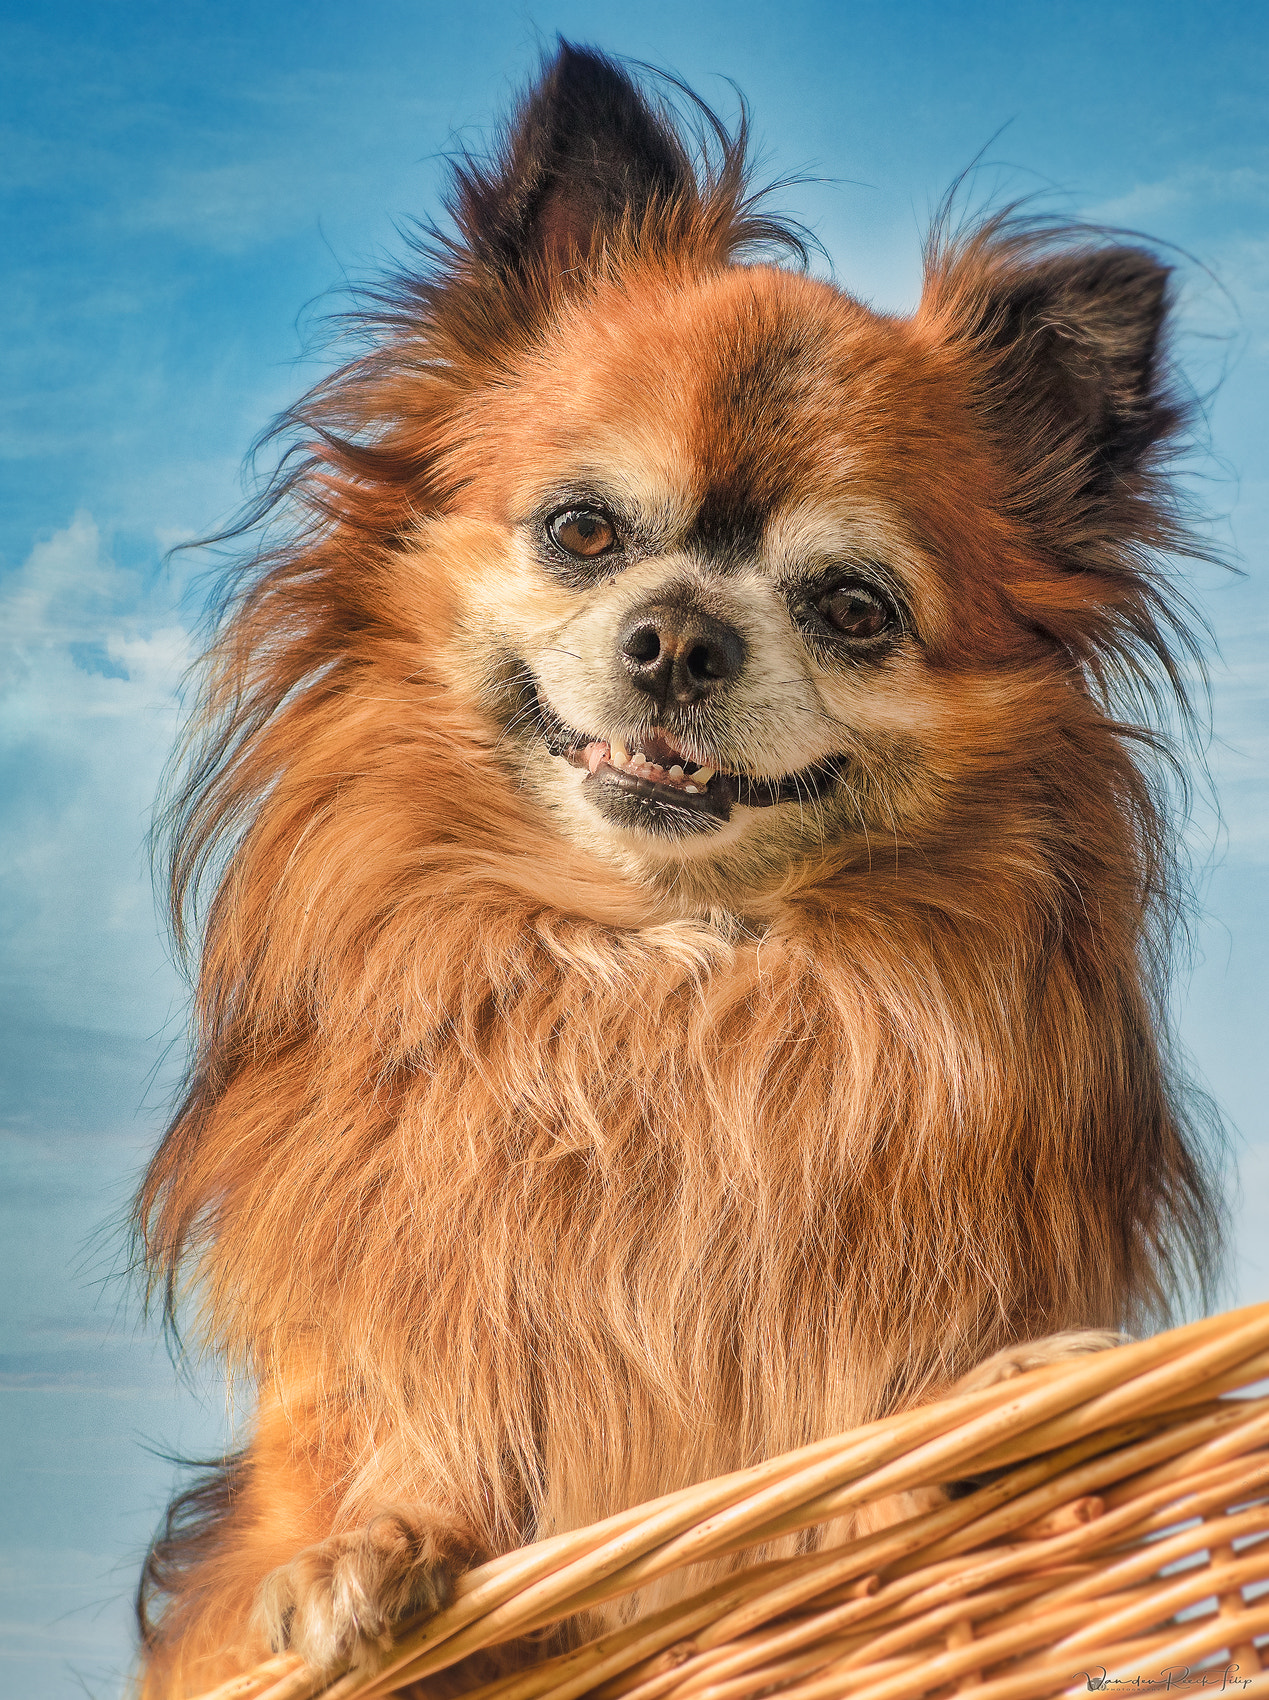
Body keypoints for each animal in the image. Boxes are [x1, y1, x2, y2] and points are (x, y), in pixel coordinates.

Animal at [133, 43, 1217, 1700]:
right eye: (584, 531)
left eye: (852, 607)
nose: (679, 636)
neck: (664, 968)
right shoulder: (312, 1448)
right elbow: (377, 1480)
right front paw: (375, 1545)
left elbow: (904, 1459)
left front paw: (997, 1405)